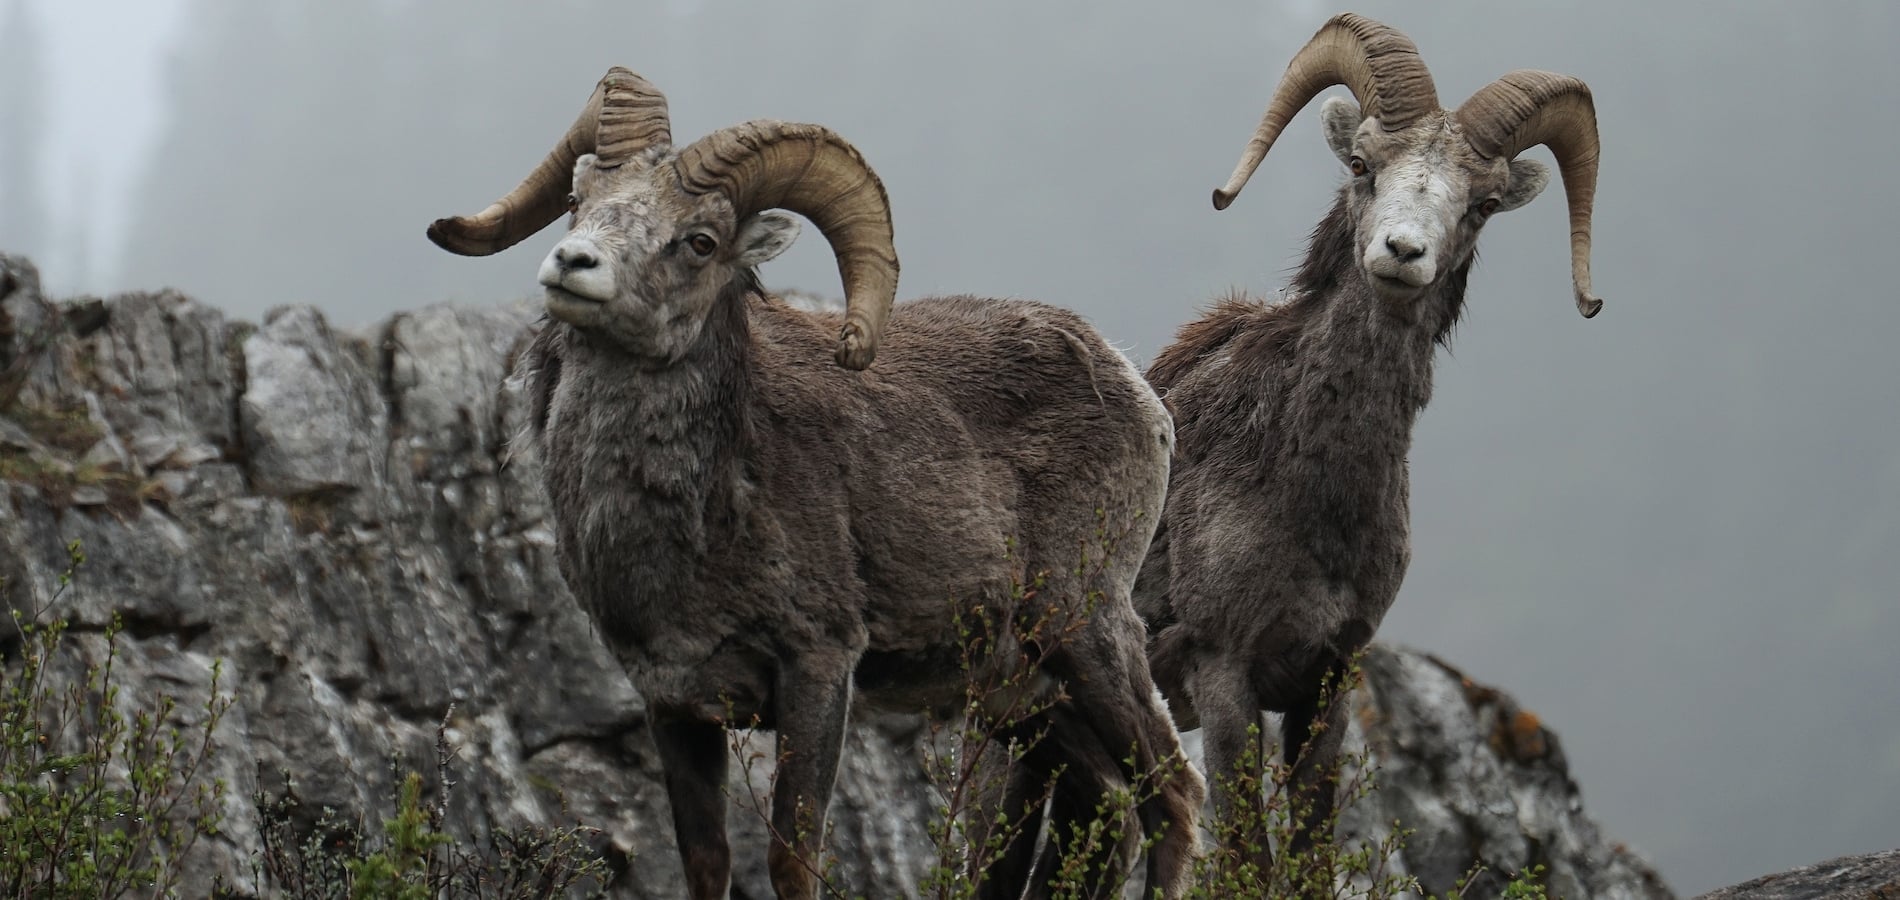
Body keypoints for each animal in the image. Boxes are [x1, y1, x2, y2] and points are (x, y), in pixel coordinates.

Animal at [426, 68, 1204, 900]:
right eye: (580, 199)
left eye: (700, 241)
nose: (573, 263)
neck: (707, 518)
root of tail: (1135, 387)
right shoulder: (675, 705)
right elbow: (707, 862)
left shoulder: (818, 672)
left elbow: (792, 859)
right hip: (1027, 698)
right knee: (1115, 803)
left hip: (1084, 632)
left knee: (1173, 798)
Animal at [1132, 12, 1606, 865]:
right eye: (1362, 165)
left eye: (1482, 203)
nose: (1402, 252)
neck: (1316, 502)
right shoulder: (1224, 675)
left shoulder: (1329, 679)